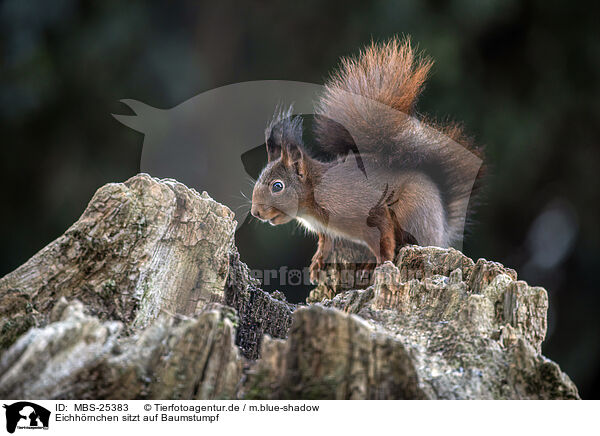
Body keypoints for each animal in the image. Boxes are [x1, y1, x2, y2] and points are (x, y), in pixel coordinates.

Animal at [248, 38, 482, 282]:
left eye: (277, 186)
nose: (256, 212)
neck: (312, 201)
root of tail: (443, 228)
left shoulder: (367, 208)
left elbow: (384, 239)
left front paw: (382, 263)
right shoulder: (326, 230)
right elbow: (326, 243)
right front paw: (317, 262)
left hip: (413, 211)